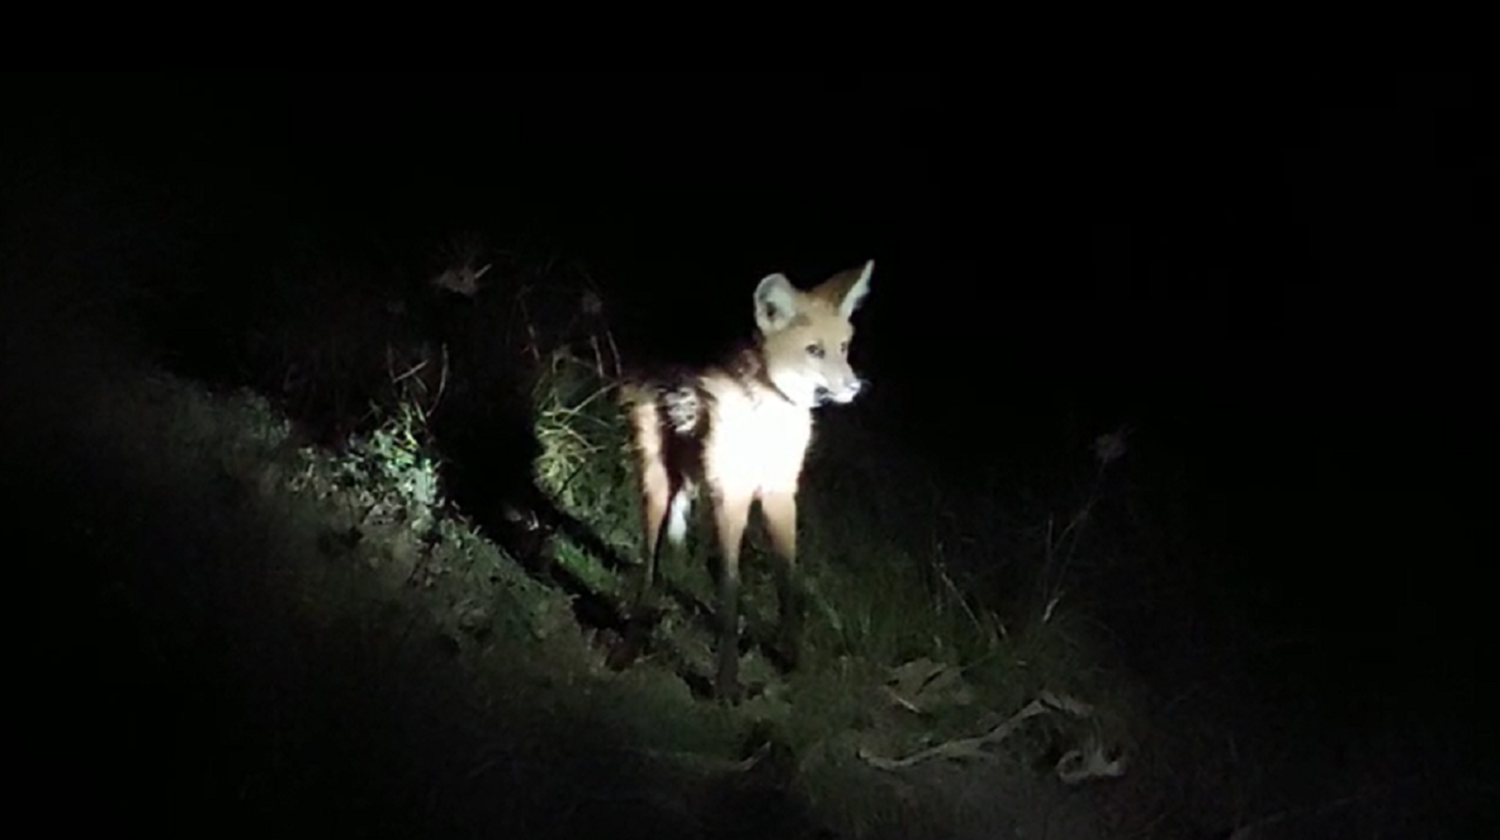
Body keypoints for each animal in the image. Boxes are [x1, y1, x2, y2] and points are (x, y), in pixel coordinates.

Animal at [621, 259, 876, 699]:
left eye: (843, 348)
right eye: (814, 351)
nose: (856, 388)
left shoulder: (779, 492)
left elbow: (789, 584)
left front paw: (791, 659)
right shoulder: (732, 493)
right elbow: (730, 591)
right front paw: (726, 682)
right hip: (657, 480)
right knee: (648, 561)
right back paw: (635, 629)